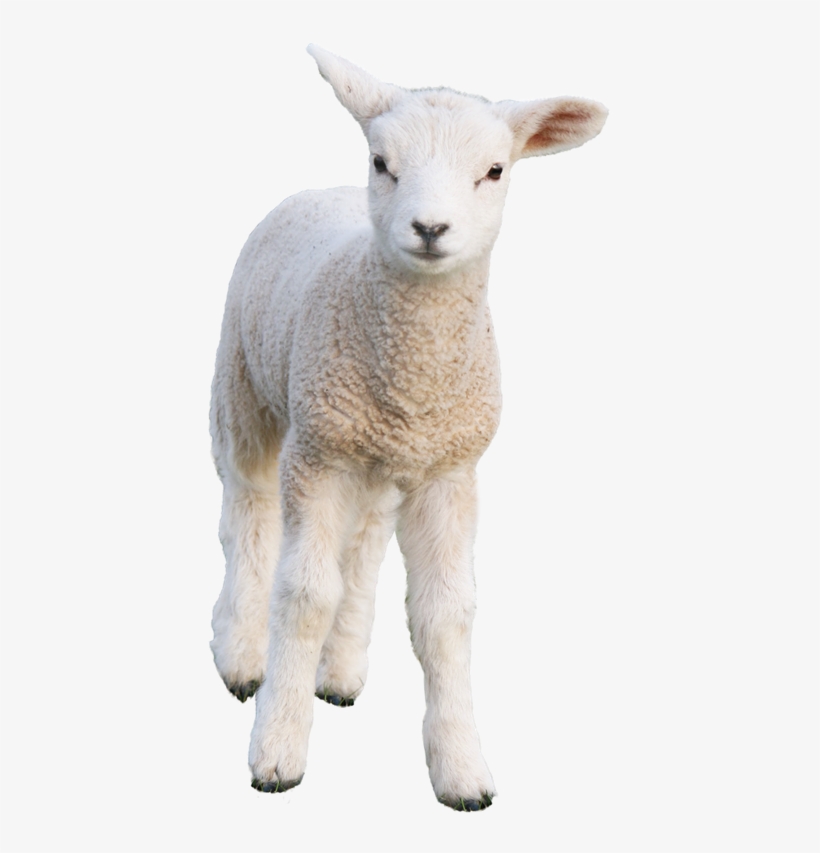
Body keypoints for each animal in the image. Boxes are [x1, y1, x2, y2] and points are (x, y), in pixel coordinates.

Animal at [209, 44, 607, 811]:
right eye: (381, 161)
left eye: (495, 170)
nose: (429, 229)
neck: (413, 376)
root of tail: (317, 191)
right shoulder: (317, 453)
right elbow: (303, 595)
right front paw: (277, 750)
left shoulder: (450, 468)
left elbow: (445, 616)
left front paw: (462, 769)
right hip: (246, 391)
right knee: (247, 511)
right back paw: (240, 654)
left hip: (369, 455)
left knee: (364, 544)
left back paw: (339, 673)